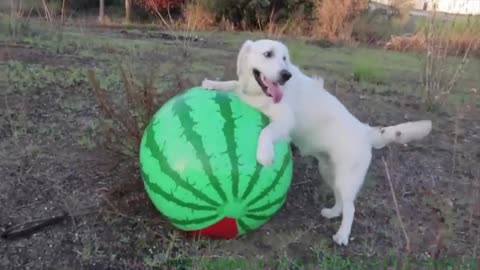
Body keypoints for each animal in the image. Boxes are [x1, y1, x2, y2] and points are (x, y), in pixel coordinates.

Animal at [201, 39, 434, 246]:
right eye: (268, 54)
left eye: (285, 58)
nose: (286, 75)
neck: (258, 93)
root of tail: (366, 132)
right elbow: (233, 84)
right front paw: (212, 83)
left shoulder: (285, 120)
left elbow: (267, 131)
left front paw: (264, 154)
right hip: (330, 172)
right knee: (341, 201)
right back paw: (332, 213)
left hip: (347, 178)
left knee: (351, 208)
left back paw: (342, 235)